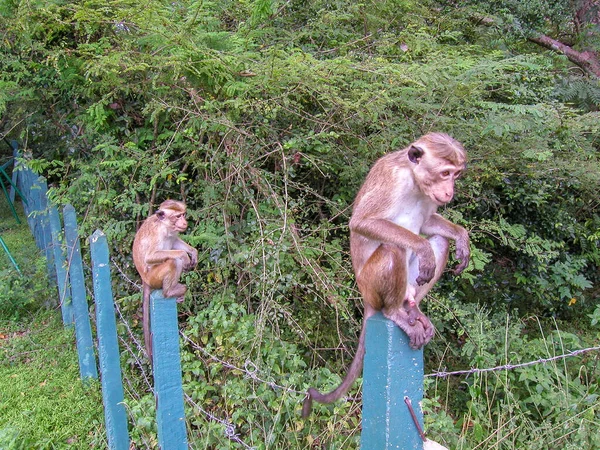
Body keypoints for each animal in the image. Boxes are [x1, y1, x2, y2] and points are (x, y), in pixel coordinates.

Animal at [132, 199, 198, 360]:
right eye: (177, 216)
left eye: (183, 214)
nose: (184, 222)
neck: (166, 226)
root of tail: (144, 280)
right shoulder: (158, 233)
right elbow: (150, 257)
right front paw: (184, 255)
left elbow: (174, 242)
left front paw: (193, 252)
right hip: (153, 277)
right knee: (173, 261)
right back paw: (170, 291)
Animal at [302, 132, 472, 416]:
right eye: (445, 173)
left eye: (456, 174)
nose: (450, 191)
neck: (414, 180)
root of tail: (365, 297)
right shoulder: (393, 180)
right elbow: (362, 222)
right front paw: (423, 247)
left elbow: (428, 224)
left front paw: (461, 236)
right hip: (370, 284)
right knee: (393, 248)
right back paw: (394, 313)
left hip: (409, 286)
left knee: (437, 242)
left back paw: (413, 308)